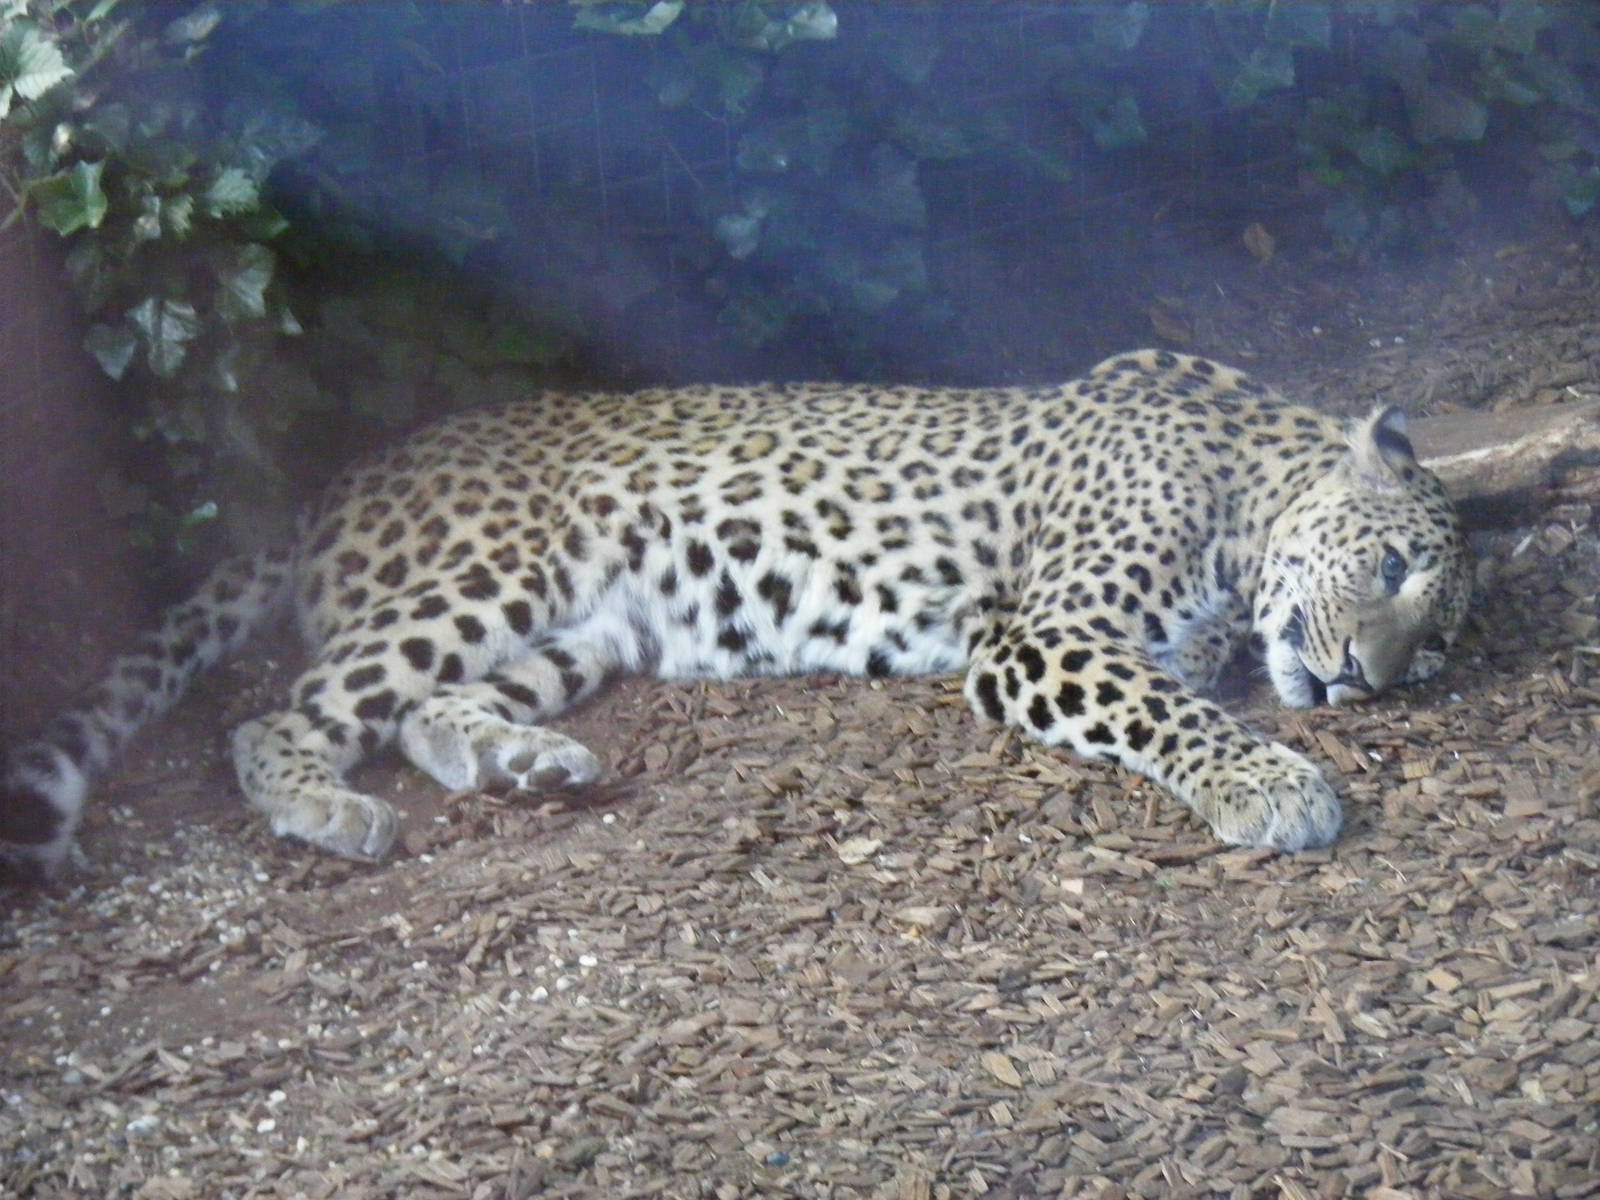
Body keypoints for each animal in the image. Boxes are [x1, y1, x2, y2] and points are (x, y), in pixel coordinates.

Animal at [1, 349, 1471, 880]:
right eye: (1396, 566)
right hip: (488, 574)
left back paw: (526, 766)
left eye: (1439, 641)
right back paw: (331, 812)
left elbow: (1196, 673)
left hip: (583, 625)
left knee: (428, 710)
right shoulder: (1041, 636)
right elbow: (1168, 707)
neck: (1248, 481)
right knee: (275, 719)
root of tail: (334, 481)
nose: (1366, 679)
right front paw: (1273, 787)